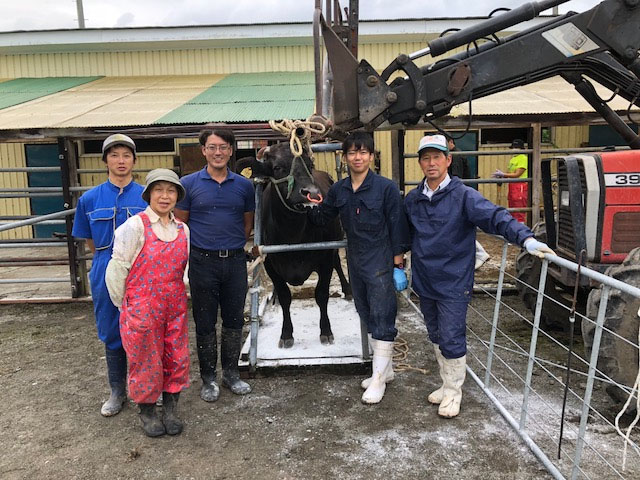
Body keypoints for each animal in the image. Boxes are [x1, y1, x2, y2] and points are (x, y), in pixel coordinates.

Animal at [238, 142, 352, 348]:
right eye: (277, 168)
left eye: (309, 165)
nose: (312, 194)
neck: (293, 232)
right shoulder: (269, 262)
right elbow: (285, 297)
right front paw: (286, 334)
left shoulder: (325, 257)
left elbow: (321, 294)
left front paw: (326, 331)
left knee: (338, 263)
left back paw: (347, 290)